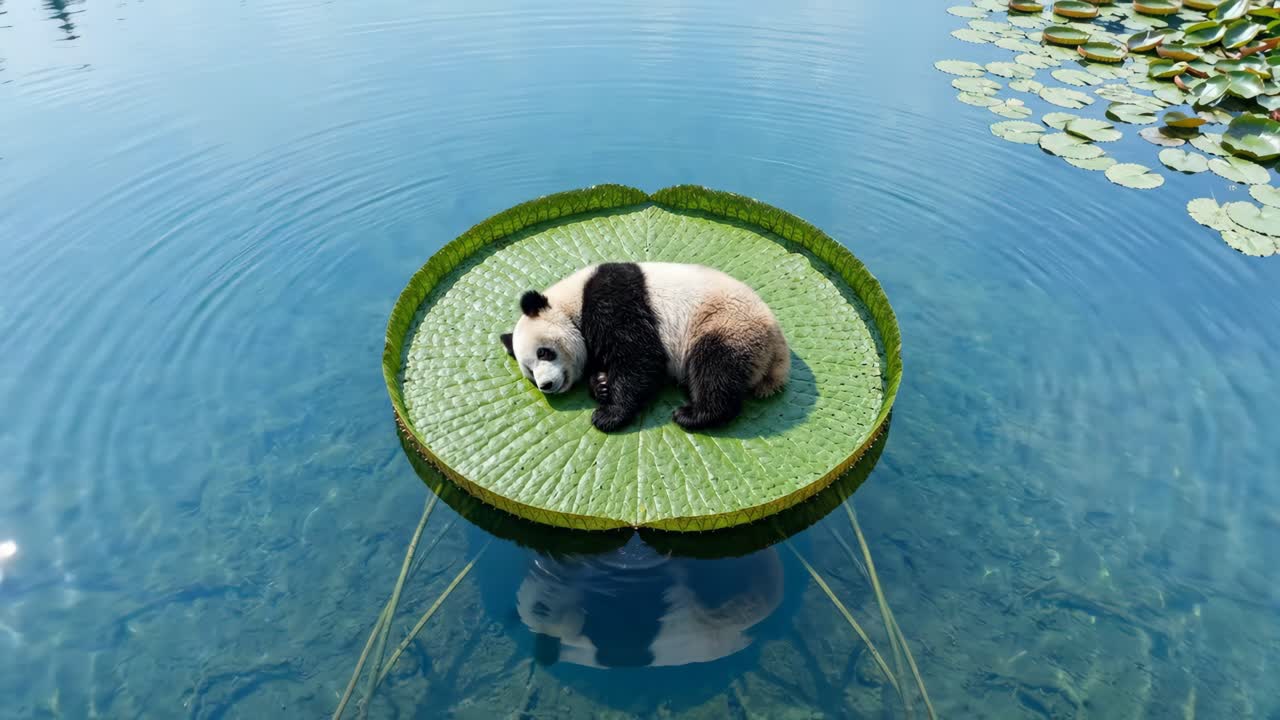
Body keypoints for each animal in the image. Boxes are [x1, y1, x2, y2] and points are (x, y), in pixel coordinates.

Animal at [500, 262, 790, 433]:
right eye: (529, 371)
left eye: (544, 352)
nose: (546, 385)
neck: (572, 303)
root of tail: (778, 353)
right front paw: (601, 384)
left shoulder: (613, 300)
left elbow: (641, 357)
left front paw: (607, 416)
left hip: (727, 324)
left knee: (715, 367)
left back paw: (693, 414)